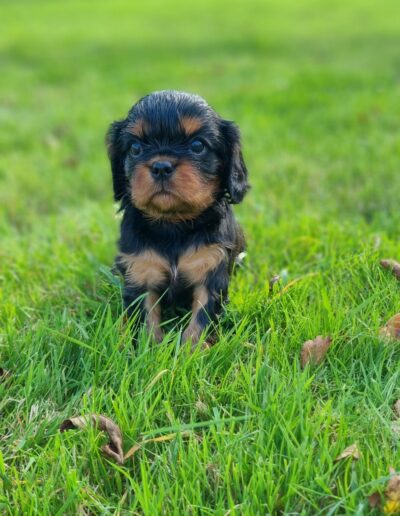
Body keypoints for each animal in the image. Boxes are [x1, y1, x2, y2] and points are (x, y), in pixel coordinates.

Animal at [106, 90, 250, 348]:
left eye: (197, 145)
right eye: (135, 148)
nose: (161, 166)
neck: (173, 225)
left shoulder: (211, 269)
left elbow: (202, 316)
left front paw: (192, 349)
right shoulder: (141, 269)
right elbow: (146, 316)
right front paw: (149, 348)